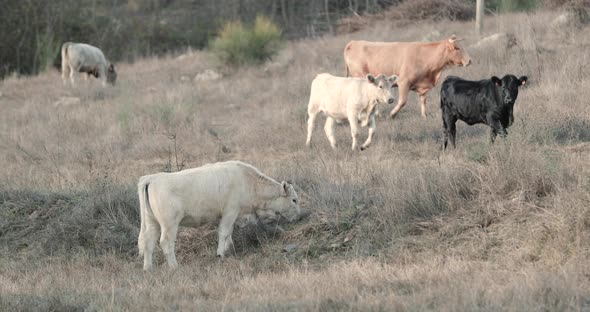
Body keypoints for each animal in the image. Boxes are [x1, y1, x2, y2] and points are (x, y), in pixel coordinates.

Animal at [138, 161, 300, 270]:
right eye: (294, 200)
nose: (298, 216)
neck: (246, 180)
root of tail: (152, 178)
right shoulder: (230, 212)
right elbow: (224, 233)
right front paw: (220, 254)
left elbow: (229, 234)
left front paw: (229, 249)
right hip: (169, 224)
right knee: (166, 242)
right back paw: (174, 267)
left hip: (152, 222)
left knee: (148, 242)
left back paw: (148, 268)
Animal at [344, 35, 474, 119]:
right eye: (457, 48)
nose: (469, 61)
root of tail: (353, 43)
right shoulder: (403, 82)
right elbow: (402, 101)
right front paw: (392, 115)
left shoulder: (423, 85)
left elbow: (423, 100)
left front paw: (424, 116)